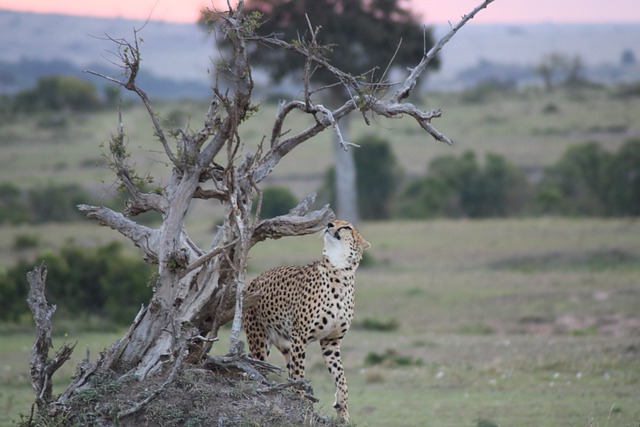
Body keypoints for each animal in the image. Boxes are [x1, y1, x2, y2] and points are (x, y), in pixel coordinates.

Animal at [244, 221, 370, 422]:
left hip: (285, 343)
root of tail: (255, 280)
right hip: (260, 341)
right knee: (260, 367)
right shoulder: (300, 336)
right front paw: (301, 403)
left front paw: (343, 410)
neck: (340, 271)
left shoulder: (330, 342)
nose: (330, 224)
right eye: (334, 222)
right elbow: (299, 373)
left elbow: (340, 377)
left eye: (346, 227)